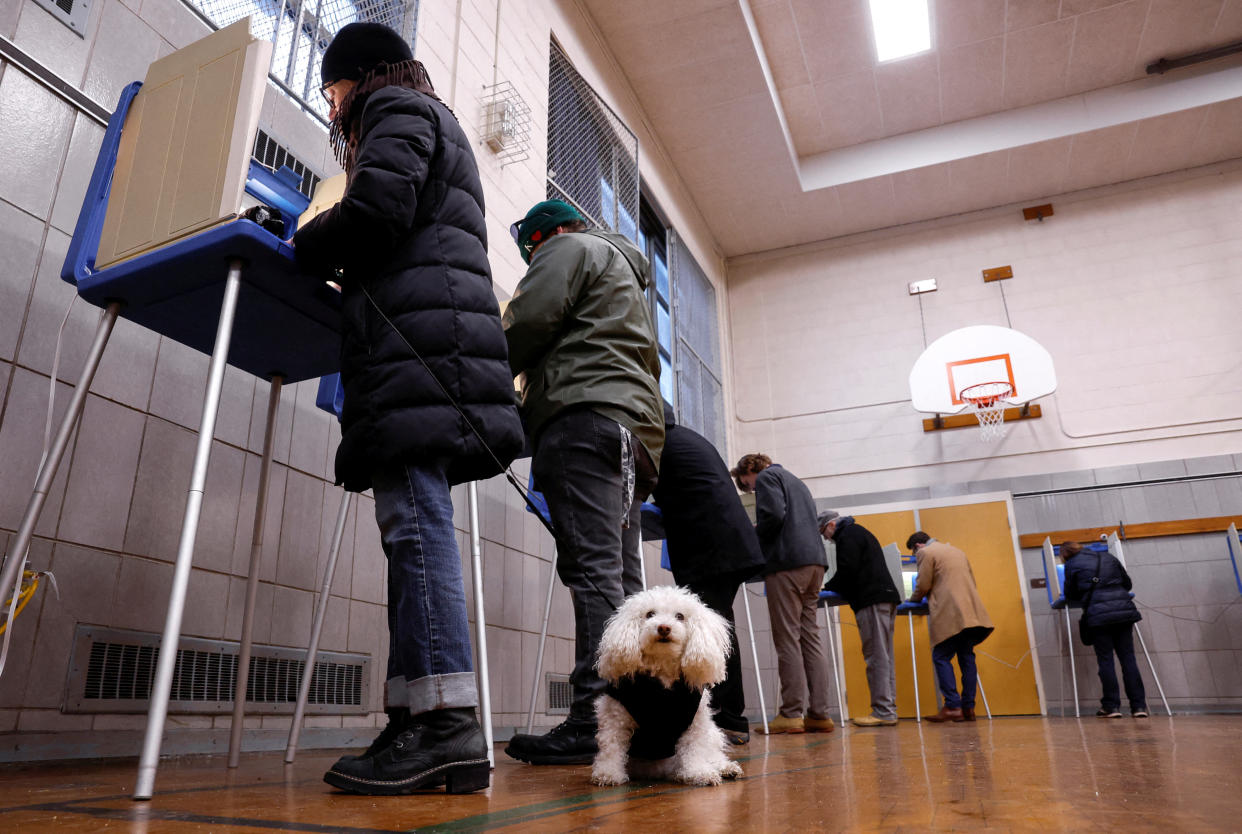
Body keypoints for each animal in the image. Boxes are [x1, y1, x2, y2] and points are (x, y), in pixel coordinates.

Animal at [586, 584, 740, 785]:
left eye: (680, 616)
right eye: (650, 614)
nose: (664, 627)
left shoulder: (694, 724)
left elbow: (694, 750)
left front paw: (698, 772)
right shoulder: (615, 717)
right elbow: (612, 747)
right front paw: (608, 774)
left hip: (711, 734)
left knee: (712, 755)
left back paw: (726, 768)